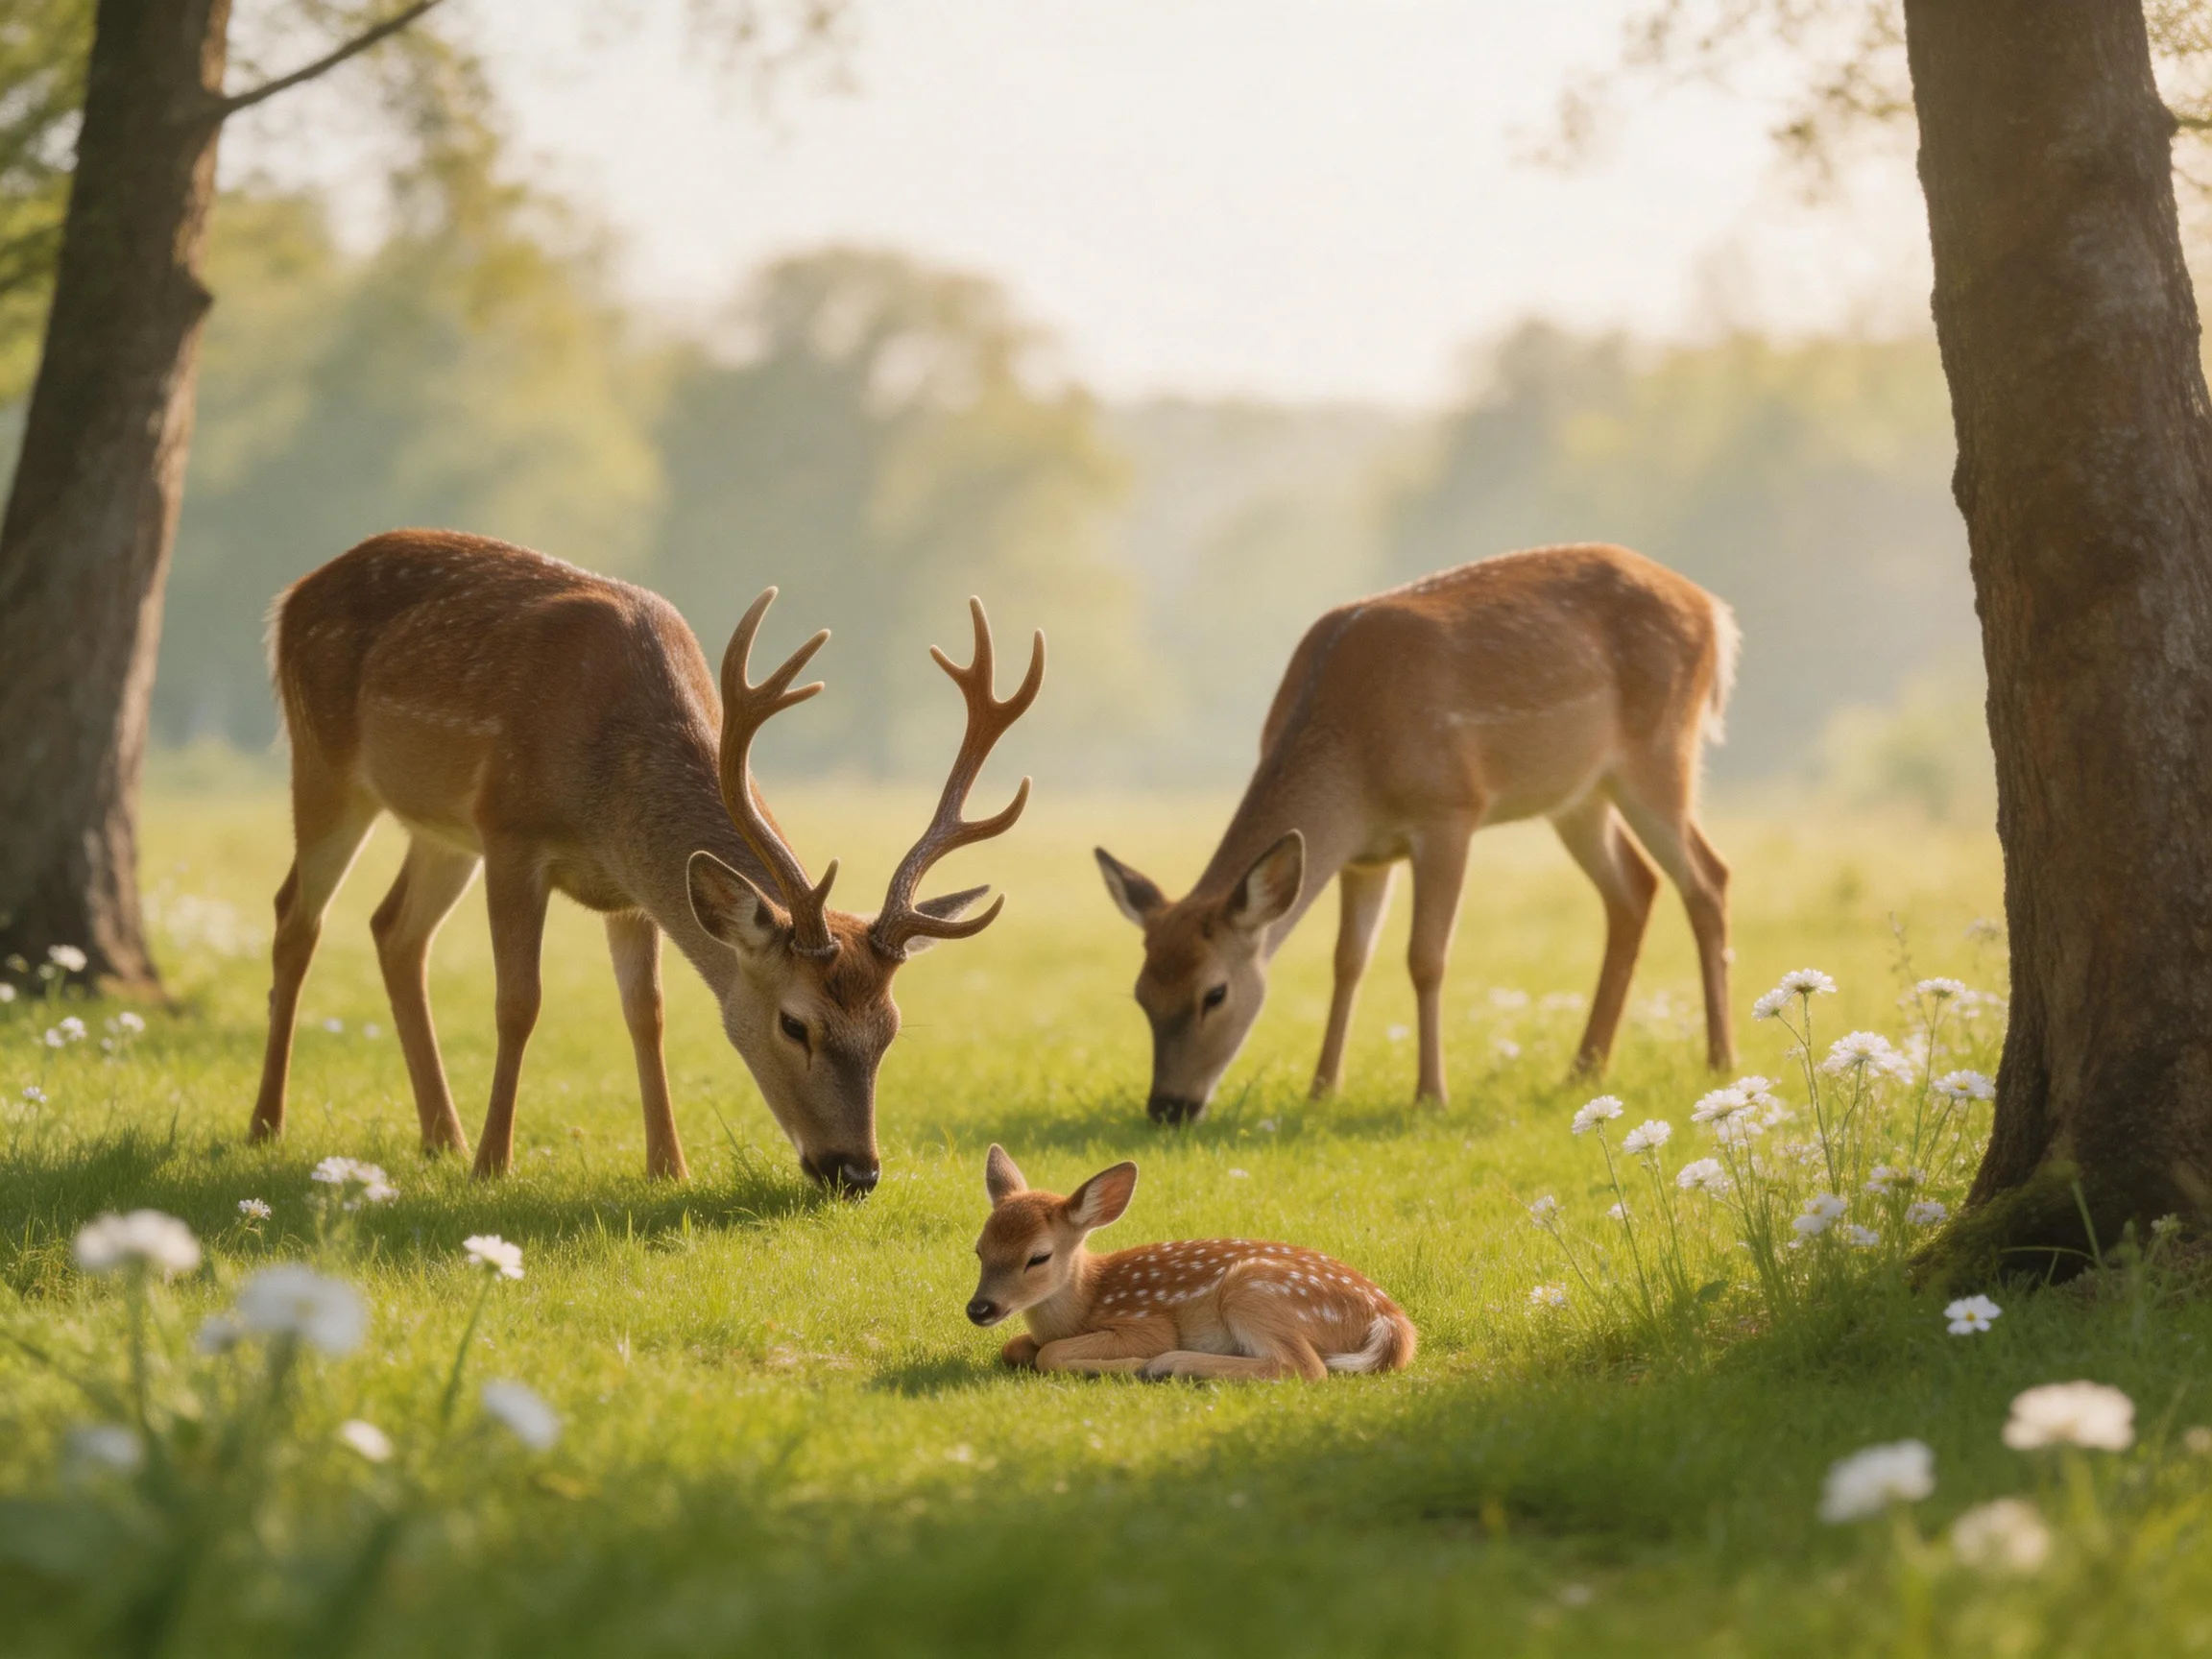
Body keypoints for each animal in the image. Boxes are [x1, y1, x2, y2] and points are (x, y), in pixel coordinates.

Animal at [248, 530, 1042, 1191]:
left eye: (891, 1029)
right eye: (795, 1024)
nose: (856, 1172)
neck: (608, 794)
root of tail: (290, 595)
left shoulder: (628, 892)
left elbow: (646, 1011)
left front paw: (668, 1166)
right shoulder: (510, 832)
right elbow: (518, 1001)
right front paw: (494, 1165)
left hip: (441, 831)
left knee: (395, 930)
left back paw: (441, 1136)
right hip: (325, 762)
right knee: (296, 917)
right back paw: (268, 1124)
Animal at [966, 1145, 1416, 1380]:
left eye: (1039, 1256)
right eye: (979, 1249)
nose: (979, 1308)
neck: (1085, 1303)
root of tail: (1392, 1320)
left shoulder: (1145, 1323)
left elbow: (1050, 1354)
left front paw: (1132, 1365)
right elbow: (1016, 1346)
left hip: (1254, 1289)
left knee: (1302, 1367)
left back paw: (1169, 1365)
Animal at [1094, 543, 1737, 1125]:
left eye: (1215, 993)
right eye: (1141, 994)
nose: (1168, 1108)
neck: (1354, 765)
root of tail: (1715, 612)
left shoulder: (1450, 810)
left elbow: (1425, 957)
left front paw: (1430, 1097)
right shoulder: (1364, 855)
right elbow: (1347, 960)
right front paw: (1321, 1090)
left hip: (1660, 750)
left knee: (1708, 876)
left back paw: (1718, 1061)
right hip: (1578, 795)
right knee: (1634, 887)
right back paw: (1584, 1069)